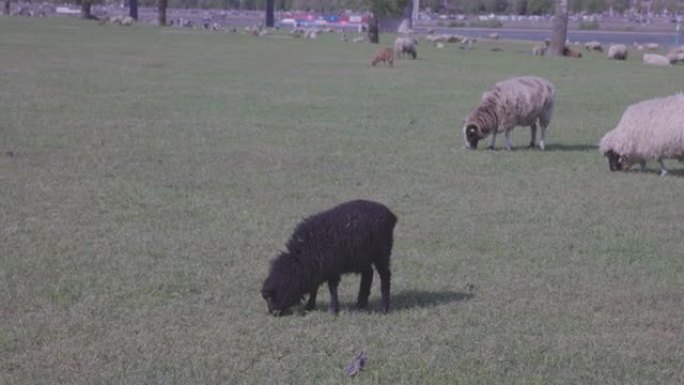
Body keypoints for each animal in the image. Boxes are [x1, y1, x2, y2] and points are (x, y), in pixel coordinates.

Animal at [264, 200, 400, 314]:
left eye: (271, 297)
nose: (273, 313)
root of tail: (390, 215)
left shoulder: (331, 269)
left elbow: (331, 288)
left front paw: (333, 310)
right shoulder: (317, 269)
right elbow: (314, 287)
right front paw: (310, 306)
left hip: (382, 254)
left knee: (385, 277)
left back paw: (384, 308)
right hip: (361, 258)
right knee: (368, 274)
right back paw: (360, 304)